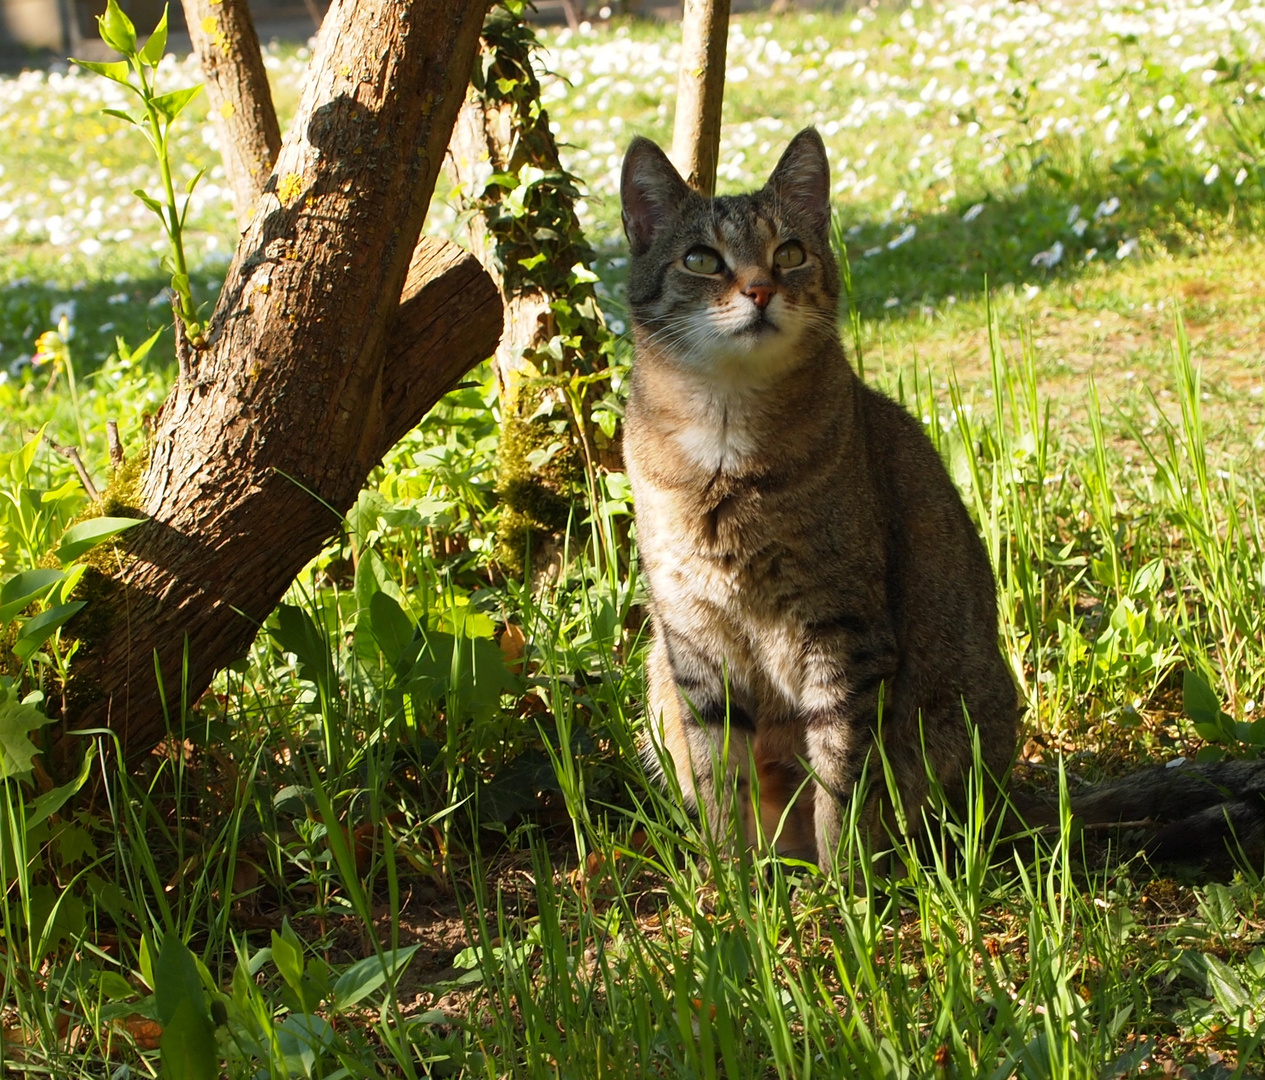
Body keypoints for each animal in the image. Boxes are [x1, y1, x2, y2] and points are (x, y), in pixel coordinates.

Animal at [617, 128, 1022, 870]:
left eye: (789, 252)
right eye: (700, 259)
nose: (758, 289)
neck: (723, 439)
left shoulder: (844, 632)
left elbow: (840, 775)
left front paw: (843, 885)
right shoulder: (694, 640)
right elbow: (719, 777)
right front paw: (730, 881)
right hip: (657, 684)